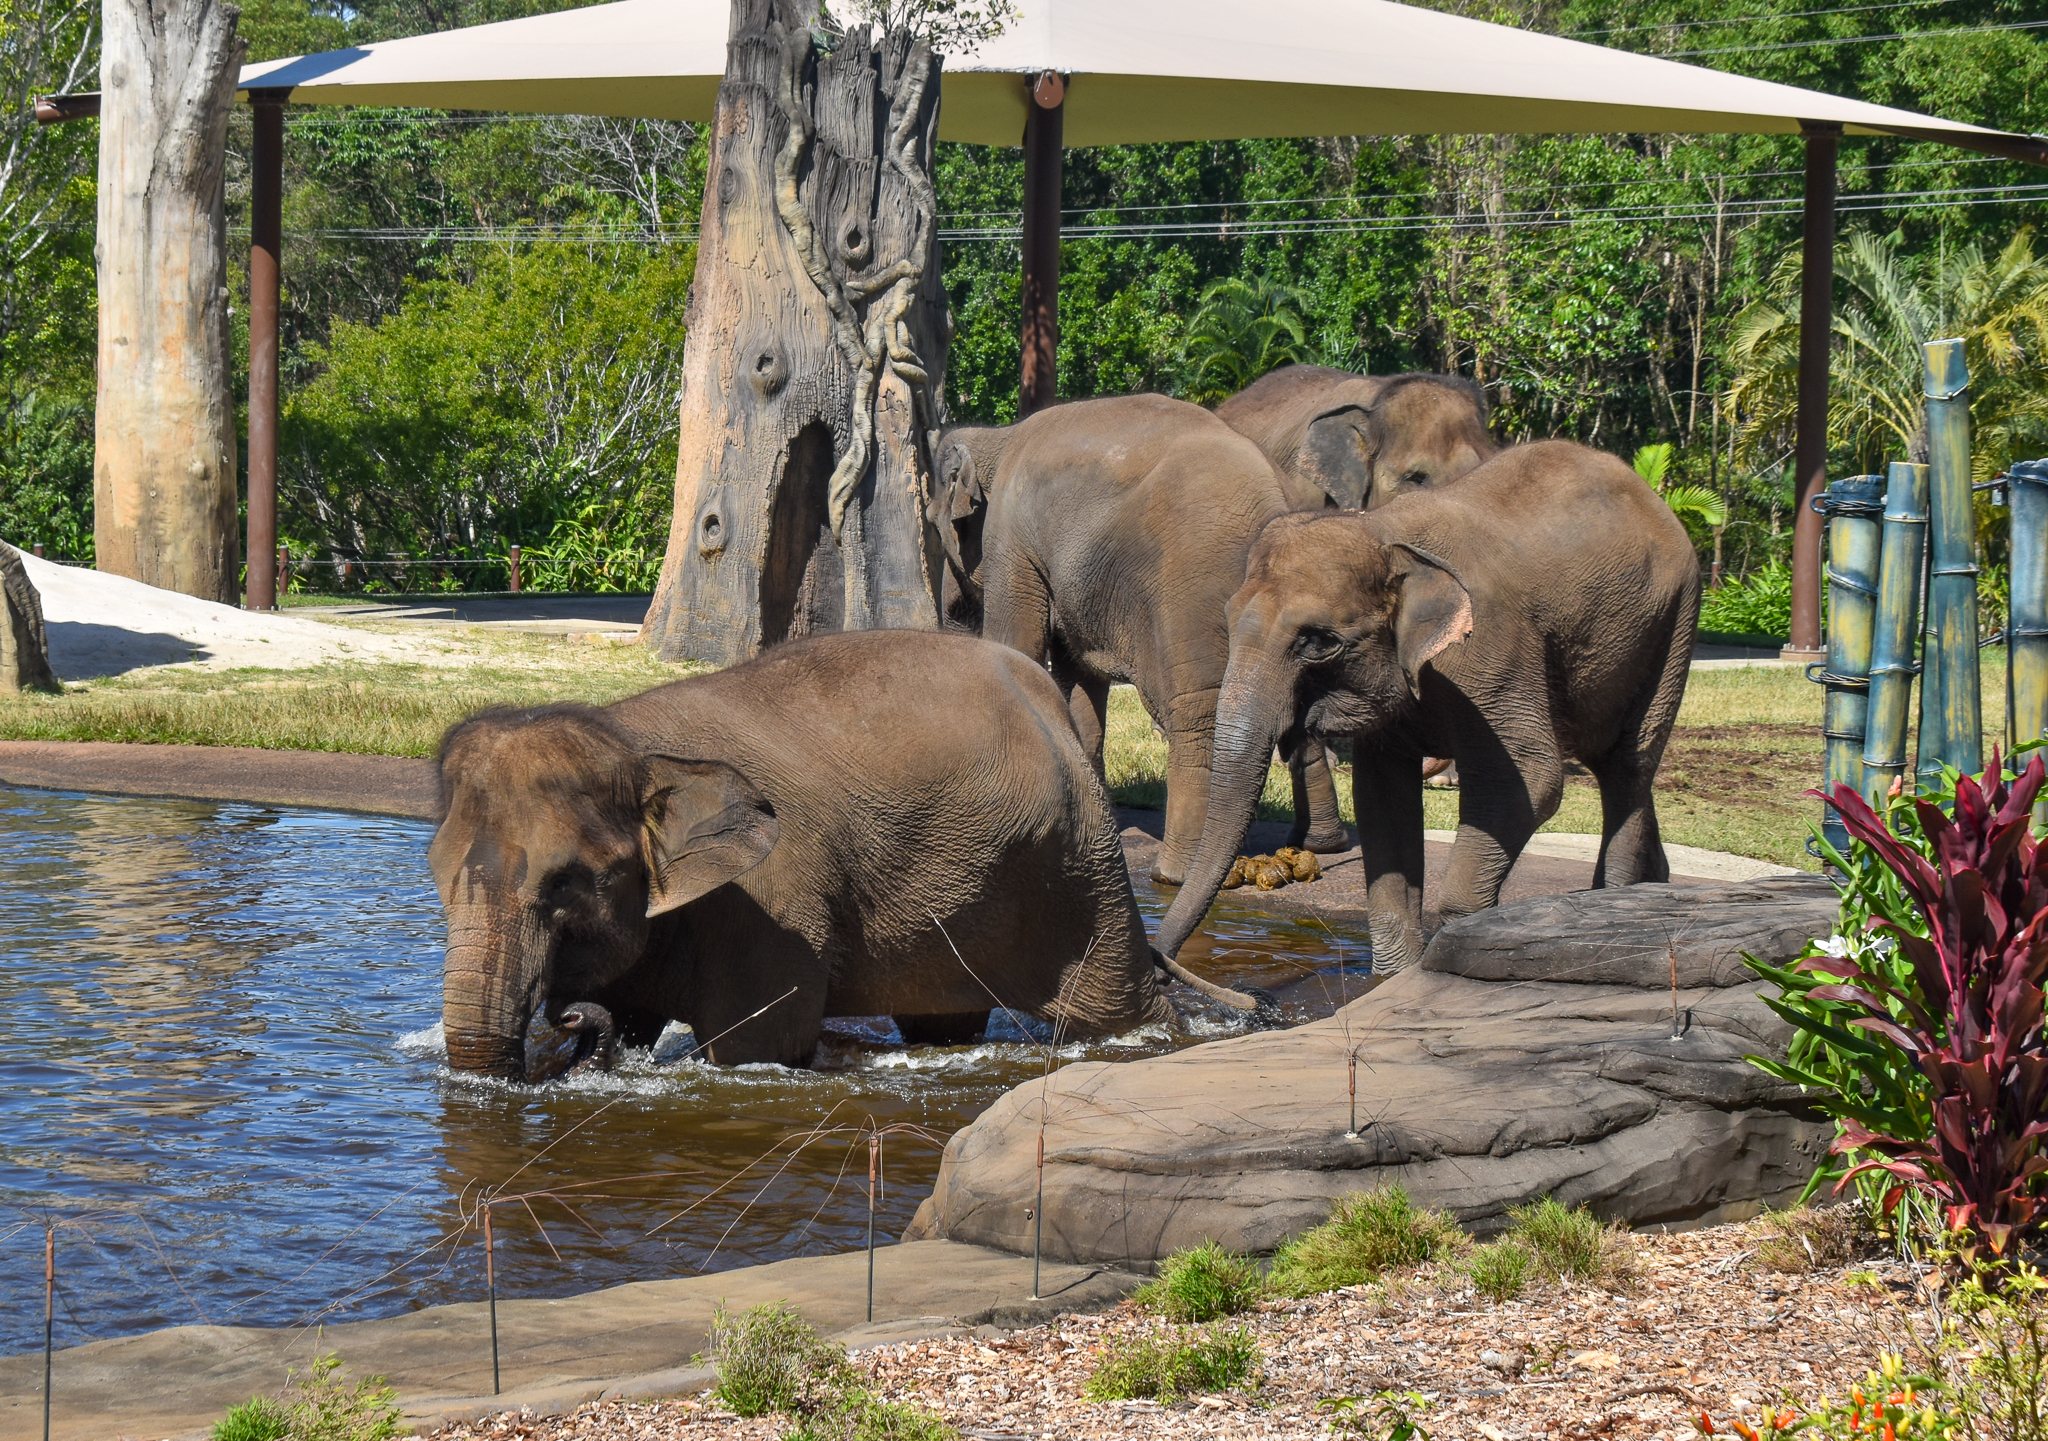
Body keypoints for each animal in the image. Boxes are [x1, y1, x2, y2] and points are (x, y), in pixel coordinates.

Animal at [430, 629, 1245, 1077]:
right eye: (436, 881)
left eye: (569, 883)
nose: (566, 1016)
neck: (631, 740)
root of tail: (1048, 697)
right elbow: (634, 1014)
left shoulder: (771, 905)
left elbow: (760, 1044)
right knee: (943, 1020)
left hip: (1079, 863)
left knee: (1112, 1008)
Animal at [926, 394, 1349, 887]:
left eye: (934, 525)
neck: (998, 437)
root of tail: (1273, 494)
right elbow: (1079, 680)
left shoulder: (1013, 544)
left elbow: (1020, 647)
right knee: (1295, 713)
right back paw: (1319, 846)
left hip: (1190, 590)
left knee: (1197, 712)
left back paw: (1175, 874)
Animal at [1153, 440, 1702, 975]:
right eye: (1229, 621)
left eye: (1318, 642)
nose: (1163, 967)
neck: (1384, 533)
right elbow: (1381, 796)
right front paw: (1394, 978)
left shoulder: (1492, 650)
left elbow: (1529, 780)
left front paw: (1460, 948)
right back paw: (1651, 885)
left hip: (1675, 619)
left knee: (1629, 763)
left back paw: (1617, 900)